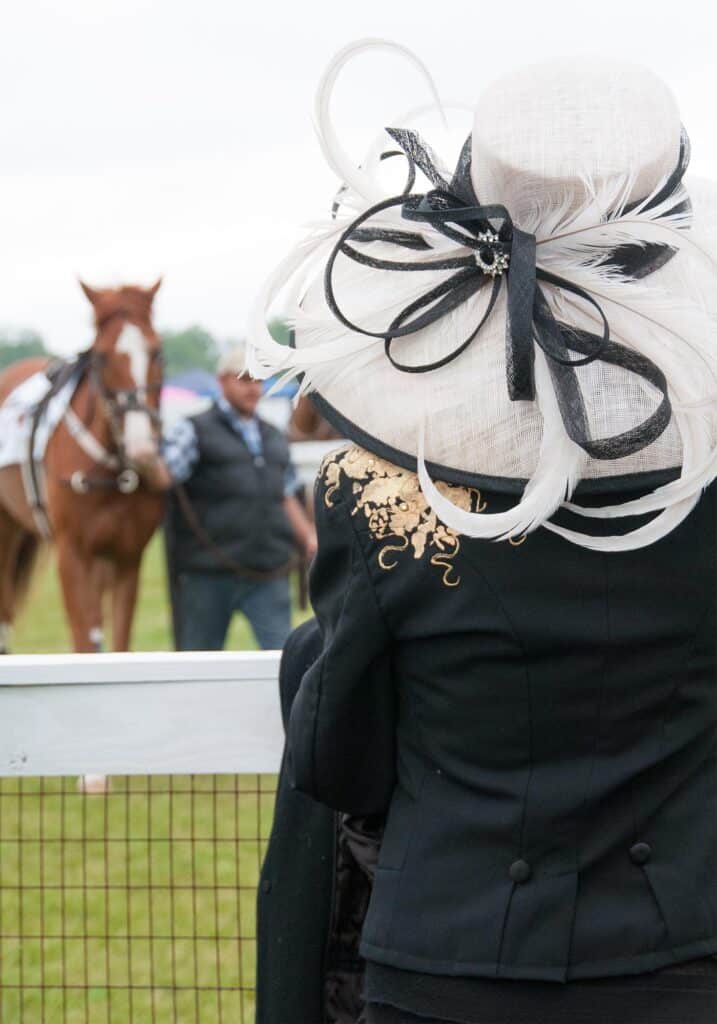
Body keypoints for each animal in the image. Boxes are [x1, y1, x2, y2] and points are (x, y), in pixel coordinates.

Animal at [0, 280, 164, 651]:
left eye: (156, 351)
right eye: (101, 356)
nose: (140, 445)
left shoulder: (126, 557)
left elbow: (116, 639)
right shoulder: (72, 556)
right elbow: (84, 639)